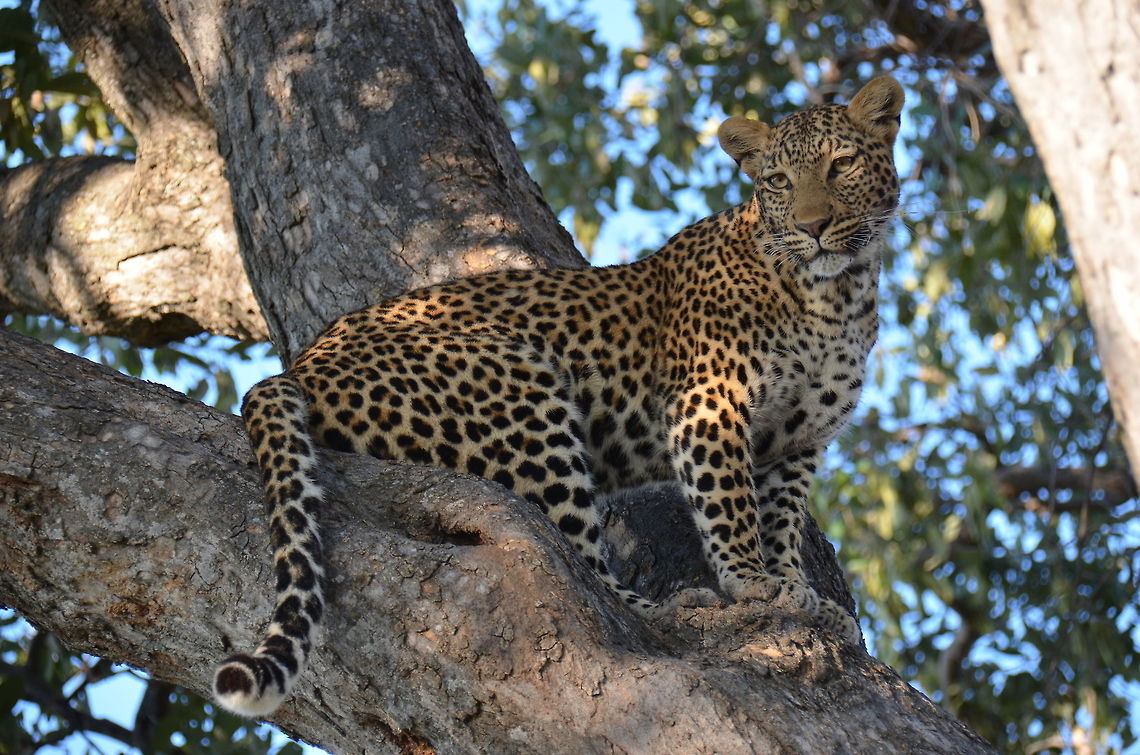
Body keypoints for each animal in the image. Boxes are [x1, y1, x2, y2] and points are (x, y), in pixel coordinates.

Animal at [213, 76, 904, 717]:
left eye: (841, 164)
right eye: (779, 181)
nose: (814, 228)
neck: (835, 295)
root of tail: (303, 363)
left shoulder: (798, 442)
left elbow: (782, 520)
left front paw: (798, 590)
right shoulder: (711, 402)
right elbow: (729, 502)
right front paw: (753, 582)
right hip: (515, 388)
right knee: (579, 567)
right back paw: (669, 610)